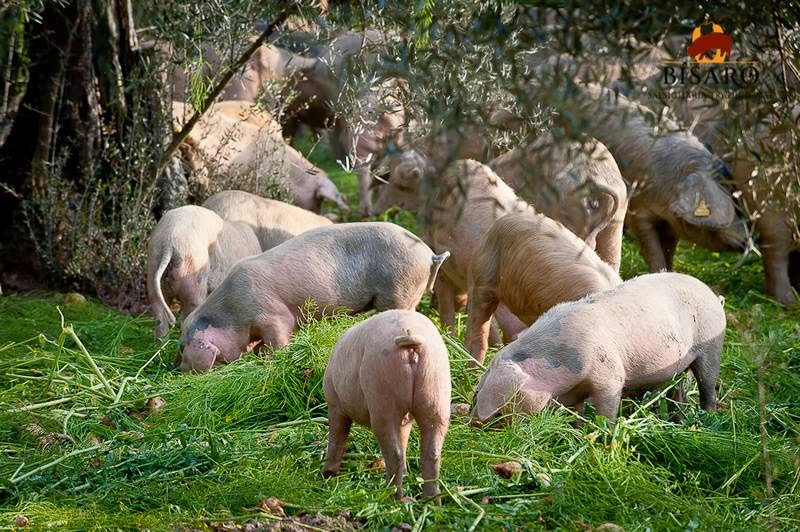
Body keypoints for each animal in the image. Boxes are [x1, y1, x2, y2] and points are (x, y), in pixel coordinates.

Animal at [179, 222, 449, 372]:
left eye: (183, 344)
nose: (179, 368)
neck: (232, 312)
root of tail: (429, 255)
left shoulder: (273, 315)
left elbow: (279, 338)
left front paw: (275, 359)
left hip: (398, 290)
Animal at [322, 310, 450, 501]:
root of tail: (409, 336)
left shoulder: (335, 403)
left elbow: (337, 436)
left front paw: (328, 474)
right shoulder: (406, 420)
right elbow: (404, 439)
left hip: (382, 395)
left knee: (393, 453)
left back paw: (391, 496)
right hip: (436, 392)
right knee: (431, 452)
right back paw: (430, 500)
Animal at [470, 272, 725, 424]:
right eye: (476, 392)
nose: (472, 423)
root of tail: (713, 295)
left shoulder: (610, 377)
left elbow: (607, 410)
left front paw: (603, 434)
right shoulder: (574, 392)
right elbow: (578, 413)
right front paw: (576, 429)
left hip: (711, 346)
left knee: (707, 386)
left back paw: (707, 419)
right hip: (681, 364)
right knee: (679, 391)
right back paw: (677, 420)